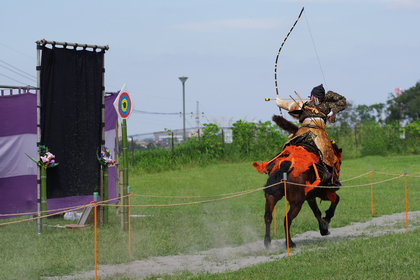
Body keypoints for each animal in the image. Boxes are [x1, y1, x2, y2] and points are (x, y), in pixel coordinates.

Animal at [254, 115, 342, 248]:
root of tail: (285, 166)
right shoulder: (322, 192)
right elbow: (335, 200)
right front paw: (326, 221)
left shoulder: (310, 196)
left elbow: (317, 212)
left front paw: (323, 228)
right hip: (296, 203)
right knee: (287, 219)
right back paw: (290, 243)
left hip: (271, 197)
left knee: (268, 216)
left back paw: (267, 241)